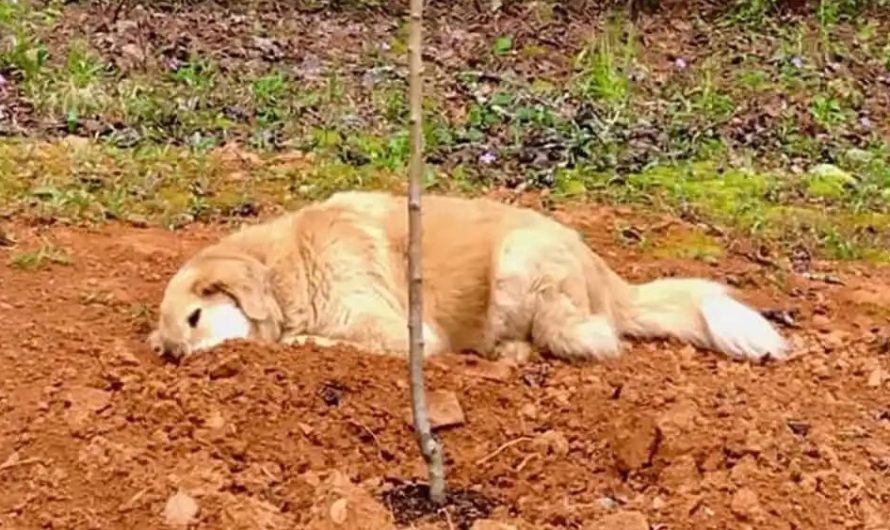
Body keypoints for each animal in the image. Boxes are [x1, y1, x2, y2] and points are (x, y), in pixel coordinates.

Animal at [149, 191, 788, 364]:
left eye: (198, 316)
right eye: (175, 350)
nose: (191, 362)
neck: (288, 268)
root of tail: (606, 275)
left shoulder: (400, 334)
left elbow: (319, 341)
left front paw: (301, 341)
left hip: (518, 263)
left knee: (587, 340)